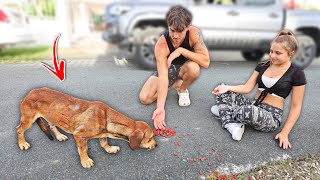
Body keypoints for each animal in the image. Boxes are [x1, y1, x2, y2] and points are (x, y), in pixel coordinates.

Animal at [16, 88, 157, 168]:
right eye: (150, 138)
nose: (155, 145)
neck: (106, 117)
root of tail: (27, 94)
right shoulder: (79, 135)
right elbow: (83, 149)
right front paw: (85, 161)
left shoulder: (103, 134)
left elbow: (104, 142)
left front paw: (110, 149)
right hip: (28, 120)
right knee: (19, 129)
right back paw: (22, 143)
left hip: (52, 116)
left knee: (52, 125)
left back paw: (60, 136)